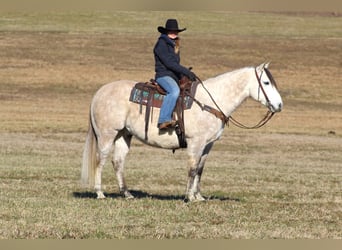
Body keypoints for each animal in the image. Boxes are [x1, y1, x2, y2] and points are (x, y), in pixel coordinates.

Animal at [81, 61, 284, 202]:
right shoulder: (196, 142)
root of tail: (99, 93)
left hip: (124, 135)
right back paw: (100, 193)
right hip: (107, 135)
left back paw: (127, 193)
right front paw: (189, 197)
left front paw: (199, 196)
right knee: (101, 160)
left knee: (118, 161)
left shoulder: (208, 144)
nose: (279, 105)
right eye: (266, 82)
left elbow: (200, 169)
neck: (210, 101)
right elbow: (192, 169)